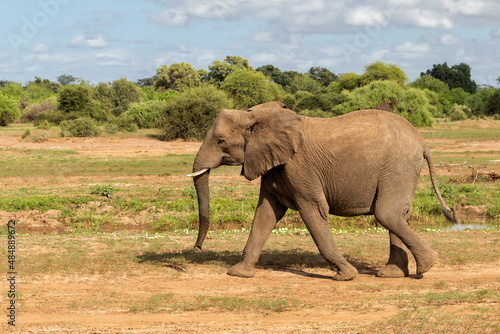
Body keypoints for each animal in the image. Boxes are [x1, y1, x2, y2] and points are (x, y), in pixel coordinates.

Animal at [188, 101, 458, 280]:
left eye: (220, 141)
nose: (197, 248)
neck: (257, 117)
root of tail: (422, 140)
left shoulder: (299, 167)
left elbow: (313, 212)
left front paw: (345, 275)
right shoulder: (274, 165)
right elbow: (266, 214)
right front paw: (239, 272)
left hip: (398, 166)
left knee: (387, 214)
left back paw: (426, 266)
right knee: (399, 215)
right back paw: (392, 274)